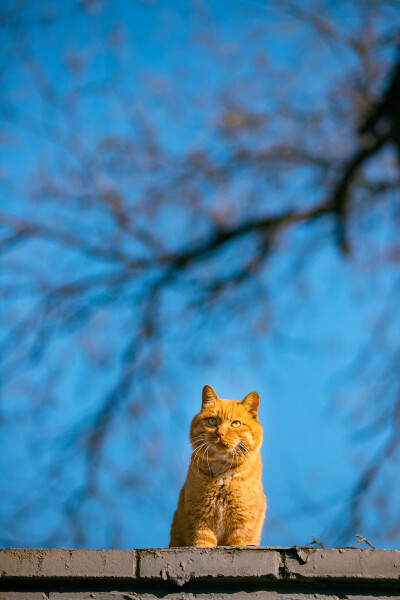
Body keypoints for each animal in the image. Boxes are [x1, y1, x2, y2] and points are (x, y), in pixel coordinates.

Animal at [169, 384, 266, 548]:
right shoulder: (200, 521)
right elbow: (202, 545)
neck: (222, 475)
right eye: (212, 421)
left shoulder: (242, 525)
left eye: (235, 423)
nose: (220, 433)